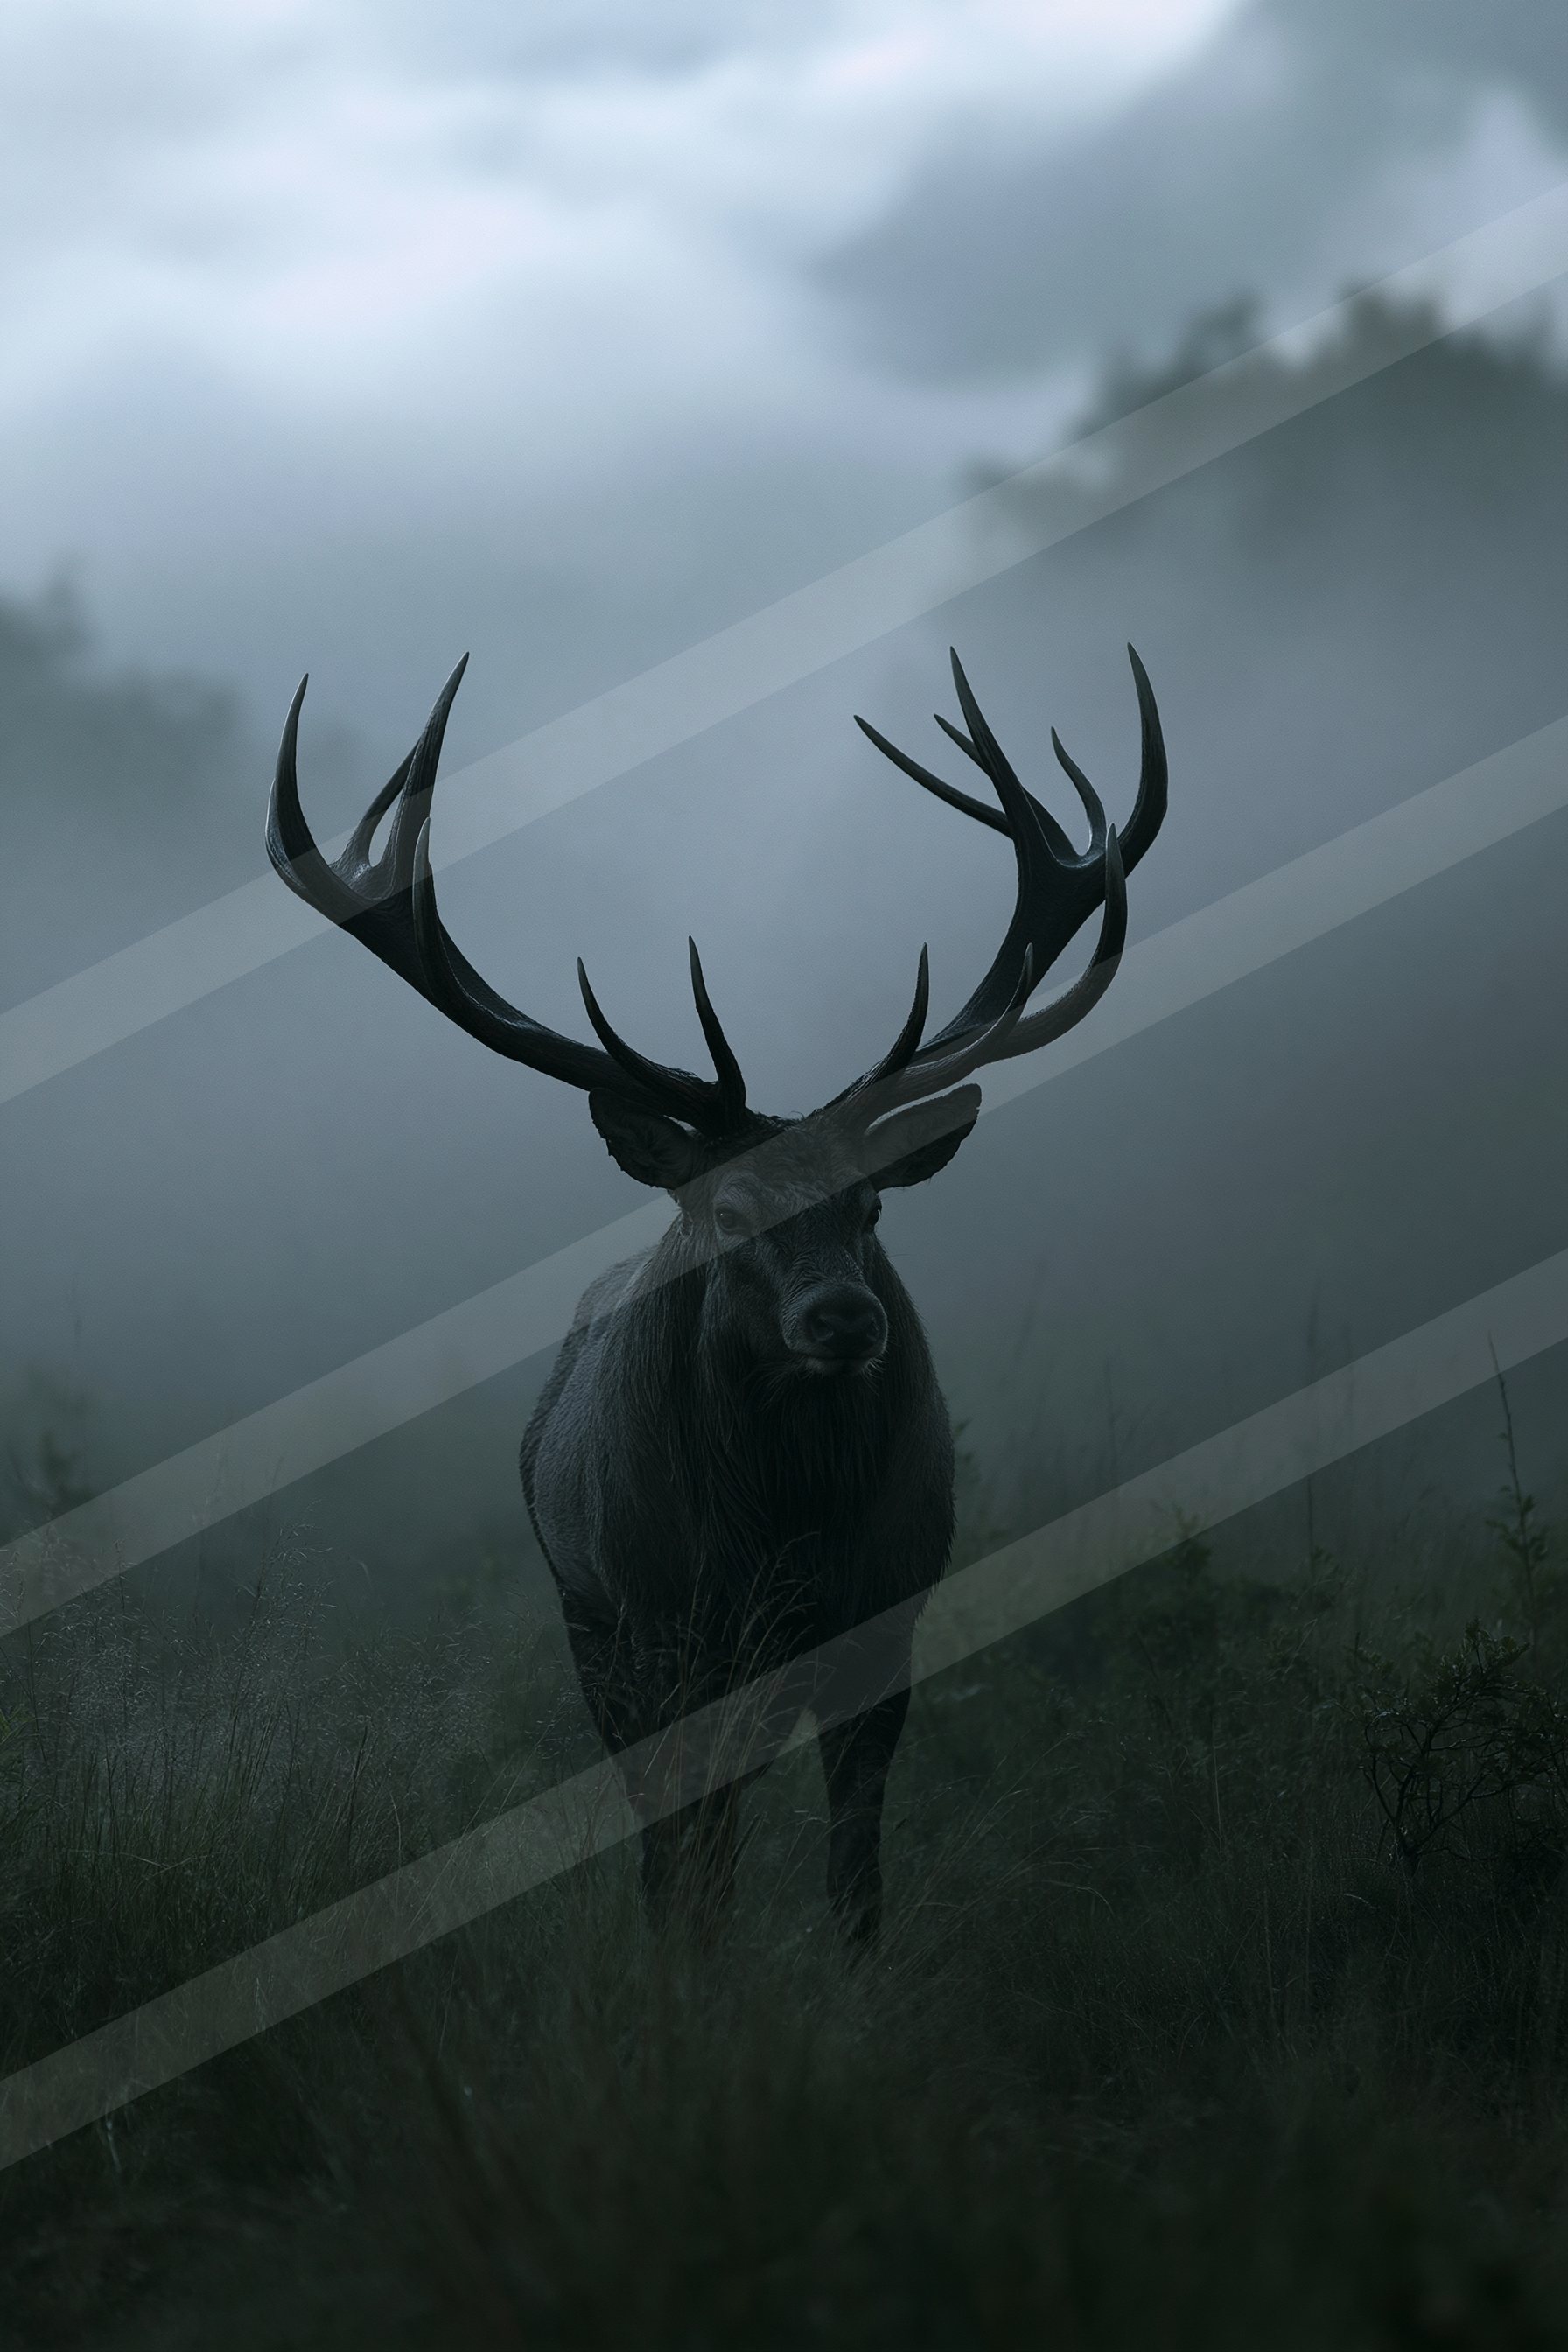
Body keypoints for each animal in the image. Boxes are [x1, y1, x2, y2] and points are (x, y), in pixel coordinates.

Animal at [266, 643, 1166, 1943]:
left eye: (872, 1206)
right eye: (726, 1215)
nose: (844, 1319)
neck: (784, 1527)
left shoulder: (888, 1618)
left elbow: (856, 1867)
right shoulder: (666, 1629)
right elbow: (697, 1845)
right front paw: (697, 1972)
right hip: (593, 1629)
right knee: (668, 1827)